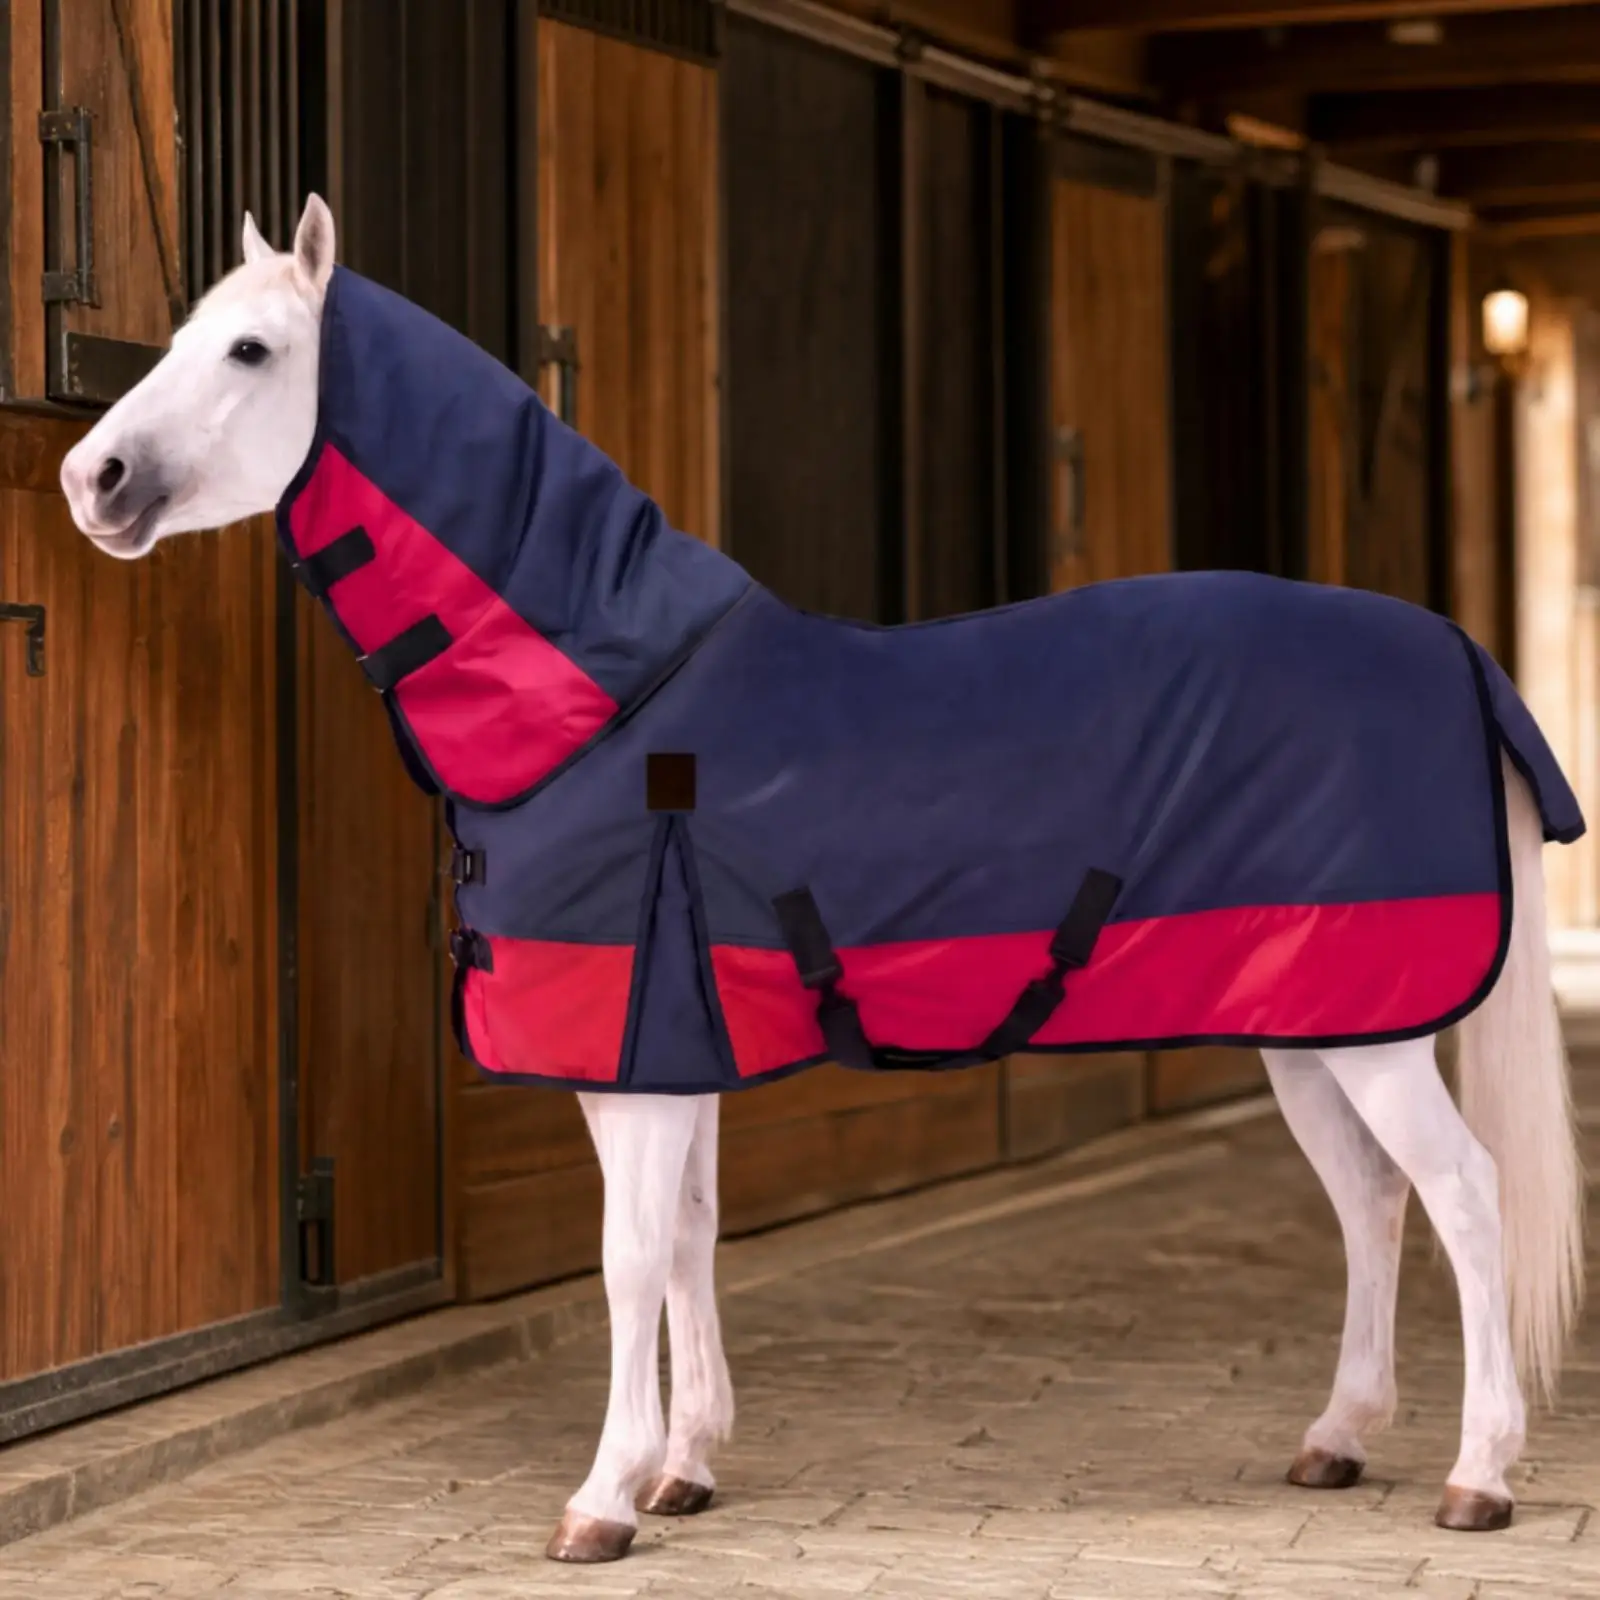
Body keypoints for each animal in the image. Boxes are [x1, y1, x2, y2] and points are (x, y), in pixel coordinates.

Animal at [59, 194, 1585, 1561]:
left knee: (1463, 1194)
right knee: (1373, 1202)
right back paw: (1337, 1439)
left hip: (1372, 1030)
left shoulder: (634, 1056)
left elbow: (628, 1257)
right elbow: (688, 1241)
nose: (93, 480)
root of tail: (1460, 654)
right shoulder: (674, 1050)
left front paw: (601, 1501)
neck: (613, 703)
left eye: (250, 350)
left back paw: (1480, 1475)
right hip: (1314, 1021)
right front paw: (684, 1468)